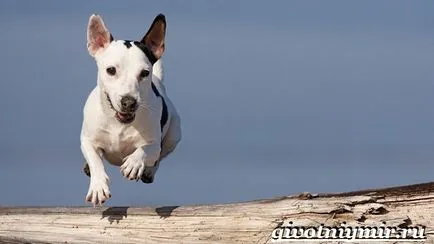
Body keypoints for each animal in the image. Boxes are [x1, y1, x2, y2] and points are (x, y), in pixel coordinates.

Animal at [81, 13, 181, 206]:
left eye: (144, 73)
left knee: (160, 156)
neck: (118, 122)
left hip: (174, 135)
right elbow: (95, 158)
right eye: (111, 70)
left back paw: (148, 171)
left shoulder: (154, 144)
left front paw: (134, 163)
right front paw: (98, 186)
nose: (129, 102)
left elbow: (147, 149)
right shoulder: (87, 139)